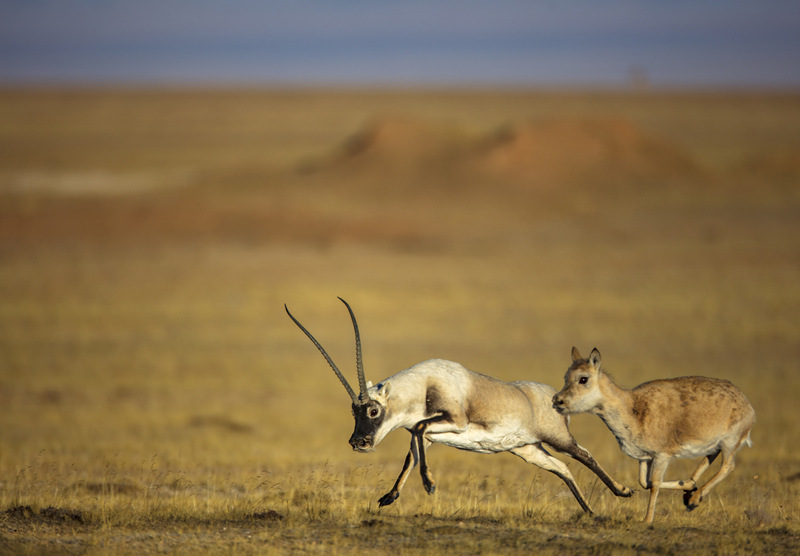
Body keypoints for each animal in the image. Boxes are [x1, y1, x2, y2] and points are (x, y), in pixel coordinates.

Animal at [284, 300, 636, 512]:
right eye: (353, 411)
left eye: (372, 410)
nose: (359, 442)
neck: (424, 382)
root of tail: (550, 395)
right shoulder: (427, 436)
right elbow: (411, 455)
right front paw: (389, 497)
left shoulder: (454, 420)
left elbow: (419, 431)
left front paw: (429, 485)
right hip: (527, 449)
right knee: (561, 468)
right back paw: (590, 512)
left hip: (556, 439)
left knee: (584, 455)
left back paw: (623, 492)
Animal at [552, 346, 752, 524]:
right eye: (565, 377)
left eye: (583, 378)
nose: (557, 400)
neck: (633, 408)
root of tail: (746, 402)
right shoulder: (644, 457)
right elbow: (644, 482)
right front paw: (686, 487)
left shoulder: (663, 455)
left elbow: (654, 482)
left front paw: (647, 520)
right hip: (715, 443)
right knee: (711, 456)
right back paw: (690, 490)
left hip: (730, 442)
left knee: (728, 466)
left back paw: (695, 500)